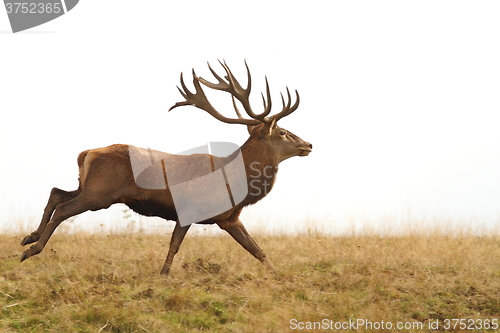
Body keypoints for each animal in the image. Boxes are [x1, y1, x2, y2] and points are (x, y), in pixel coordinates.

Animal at [20, 60, 312, 274]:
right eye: (284, 132)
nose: (309, 144)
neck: (235, 182)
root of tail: (86, 153)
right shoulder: (189, 209)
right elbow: (174, 245)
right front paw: (163, 276)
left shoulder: (229, 218)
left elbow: (257, 250)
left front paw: (279, 276)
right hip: (99, 194)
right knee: (64, 208)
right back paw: (31, 250)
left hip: (88, 186)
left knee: (57, 192)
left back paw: (29, 237)